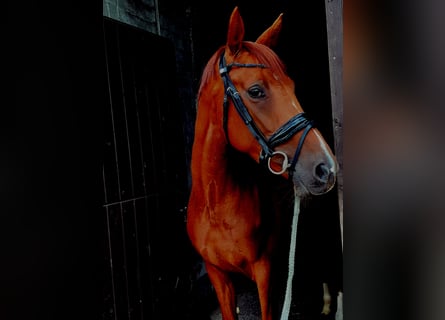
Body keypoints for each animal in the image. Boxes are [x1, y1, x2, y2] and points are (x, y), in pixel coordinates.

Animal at [186, 7, 334, 320]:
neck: (217, 204)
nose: (326, 168)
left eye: (292, 87)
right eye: (256, 91)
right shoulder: (219, 276)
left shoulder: (265, 274)